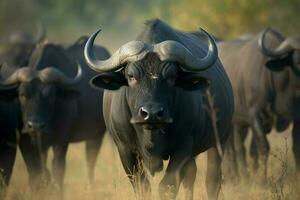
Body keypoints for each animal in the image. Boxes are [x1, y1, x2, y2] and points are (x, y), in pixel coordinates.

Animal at [0, 36, 109, 196]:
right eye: (22, 94)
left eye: (51, 95)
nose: (35, 125)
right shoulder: (25, 141)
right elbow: (34, 172)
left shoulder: (61, 141)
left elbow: (58, 169)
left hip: (96, 134)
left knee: (91, 159)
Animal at [84, 19, 234, 200]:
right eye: (131, 76)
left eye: (171, 77)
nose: (151, 114)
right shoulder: (124, 149)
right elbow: (143, 187)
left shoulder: (183, 147)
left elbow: (167, 186)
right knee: (191, 176)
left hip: (220, 140)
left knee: (212, 180)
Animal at [217, 28, 300, 183]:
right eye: (298, 59)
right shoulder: (255, 115)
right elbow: (263, 147)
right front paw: (262, 179)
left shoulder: (297, 117)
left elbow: (296, 147)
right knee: (232, 149)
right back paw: (235, 175)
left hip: (240, 123)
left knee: (240, 147)